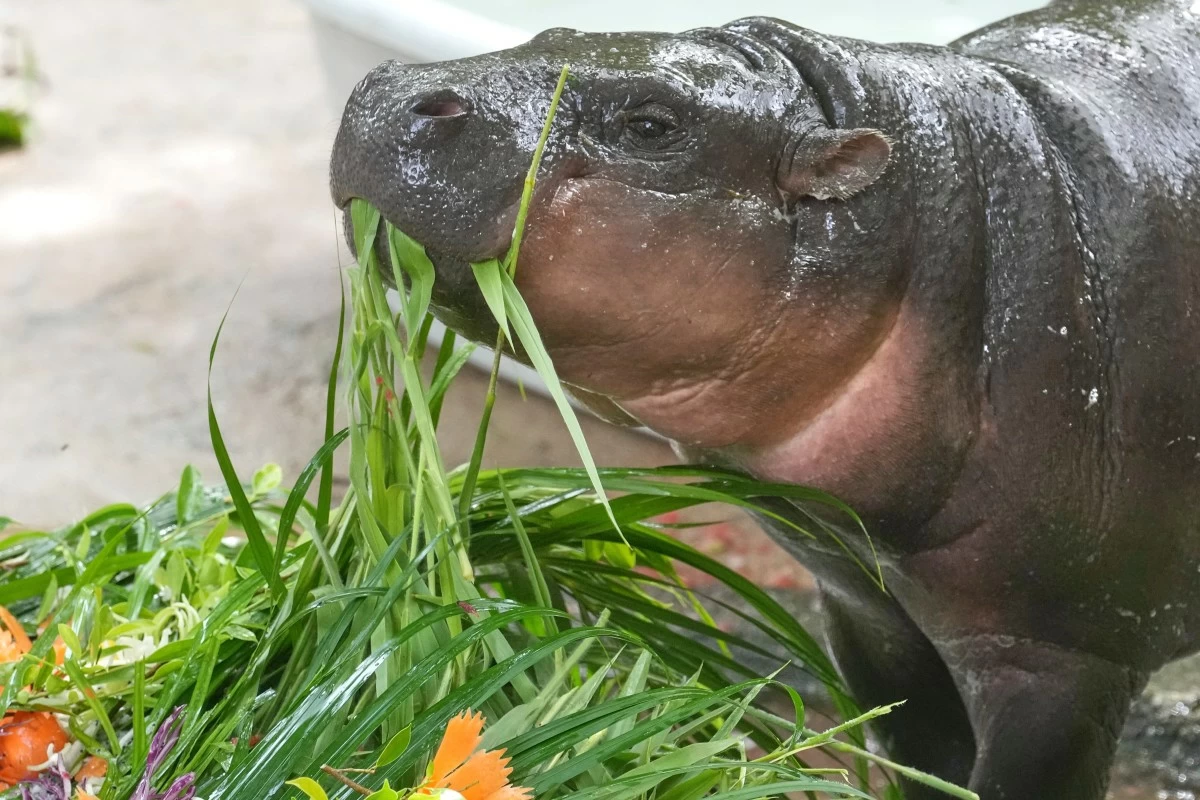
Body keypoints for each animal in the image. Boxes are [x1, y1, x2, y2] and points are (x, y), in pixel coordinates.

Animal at [329, 0, 1200, 796]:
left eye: (652, 124)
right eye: (554, 32)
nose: (389, 86)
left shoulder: (1060, 658)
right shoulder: (864, 606)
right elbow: (921, 755)